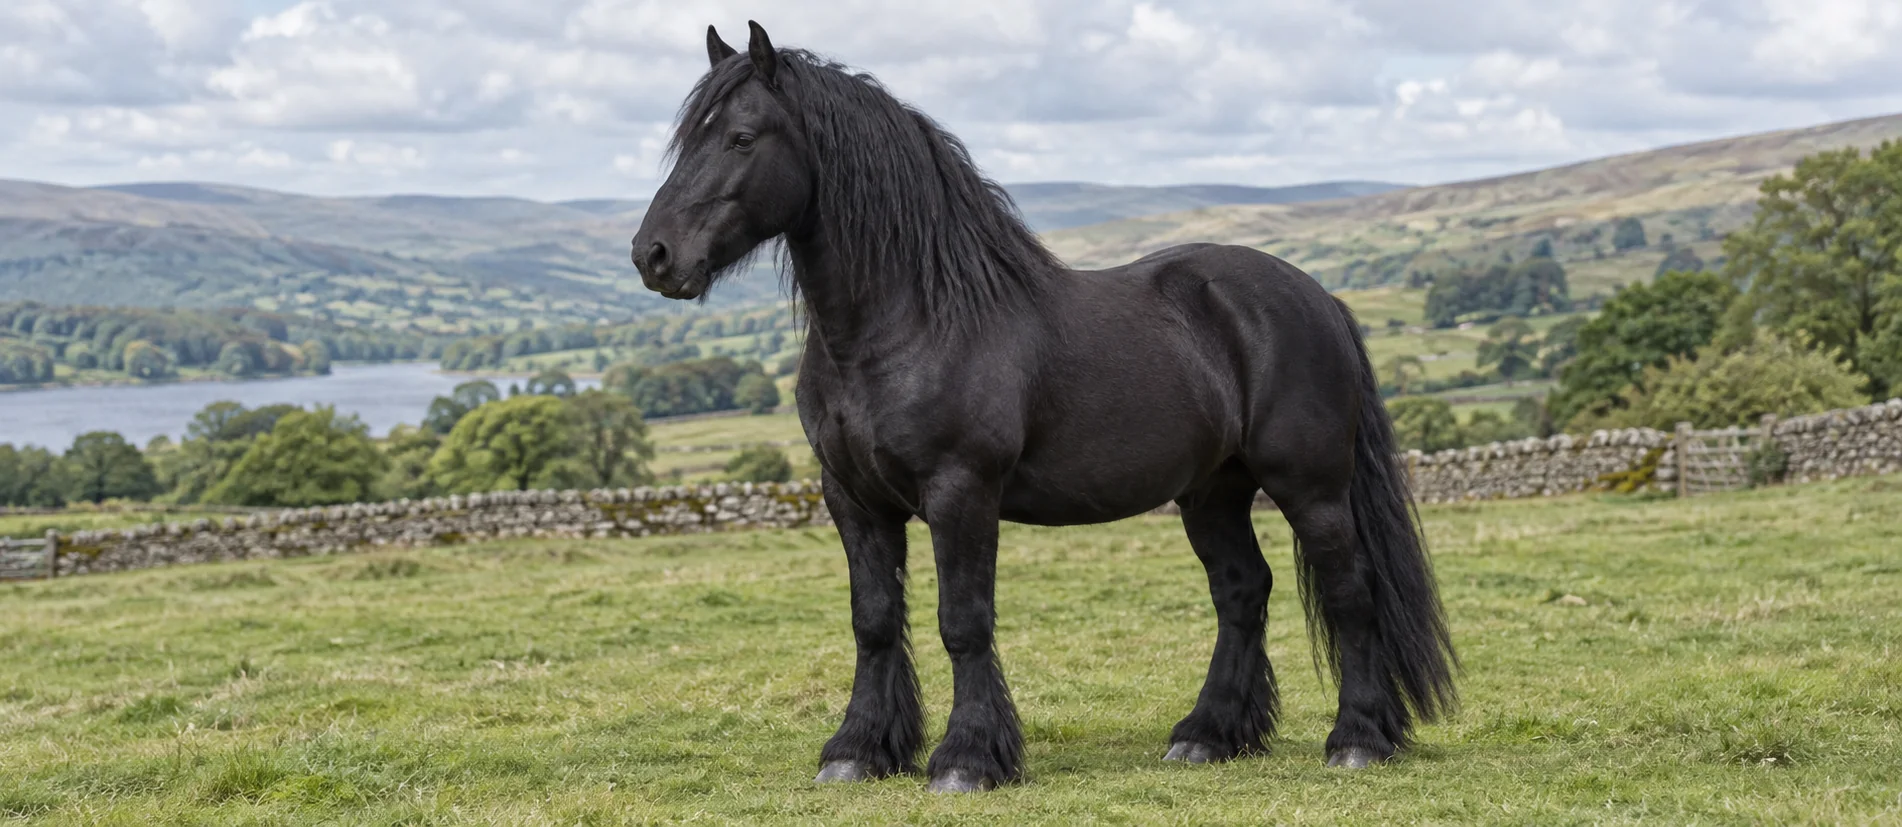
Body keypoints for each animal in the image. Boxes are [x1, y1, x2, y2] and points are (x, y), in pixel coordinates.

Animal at [630, 21, 1457, 793]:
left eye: (741, 137)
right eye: (685, 140)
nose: (653, 255)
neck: (910, 320)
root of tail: (1319, 297)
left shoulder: (961, 491)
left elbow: (962, 622)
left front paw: (967, 758)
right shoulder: (854, 499)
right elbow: (874, 621)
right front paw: (859, 749)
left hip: (1310, 487)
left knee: (1350, 592)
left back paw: (1357, 738)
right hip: (1212, 492)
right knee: (1242, 591)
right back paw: (1208, 734)